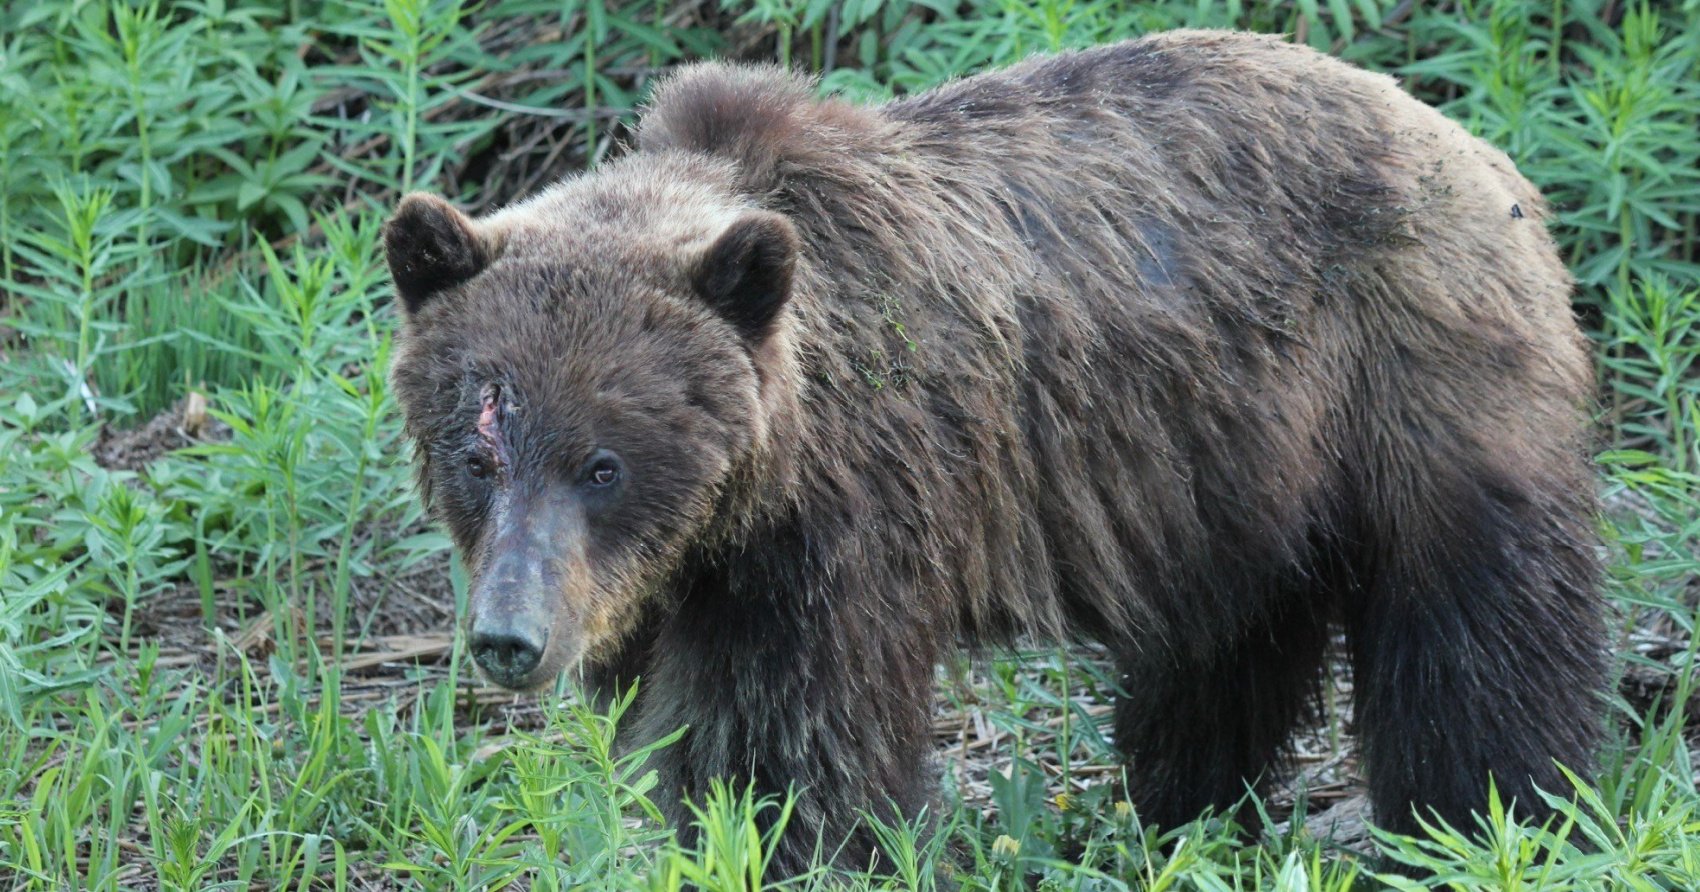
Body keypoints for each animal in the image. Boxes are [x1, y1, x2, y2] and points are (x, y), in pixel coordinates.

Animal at [382, 30, 1606, 875]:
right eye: (477, 450)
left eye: (604, 462)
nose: (508, 638)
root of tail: (1466, 141)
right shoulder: (676, 574)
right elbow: (681, 725)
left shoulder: (846, 521)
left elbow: (794, 732)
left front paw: (804, 844)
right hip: (1226, 468)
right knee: (1222, 645)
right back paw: (1186, 804)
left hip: (1409, 375)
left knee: (1472, 621)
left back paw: (1488, 818)